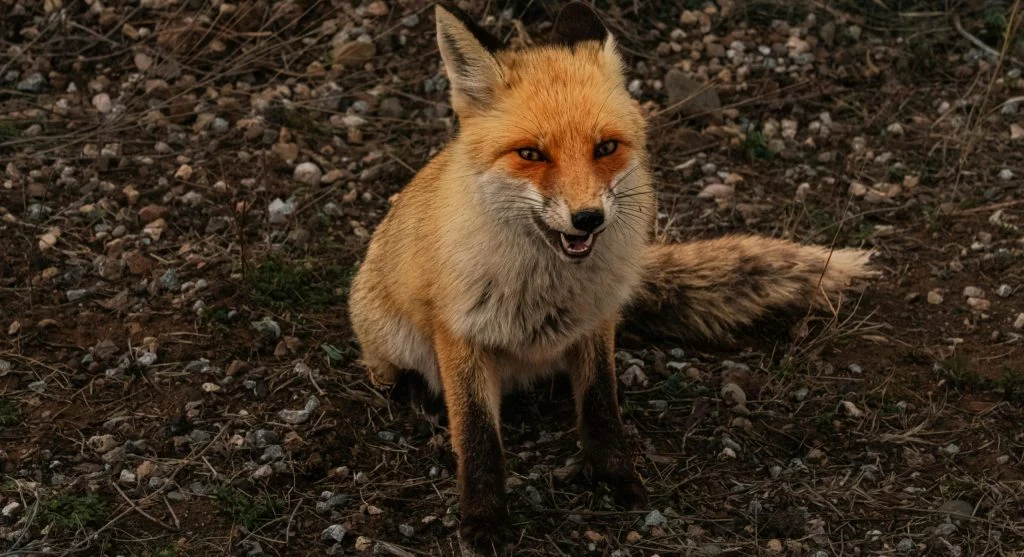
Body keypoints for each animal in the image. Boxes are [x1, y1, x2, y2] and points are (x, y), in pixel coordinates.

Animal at [347, 2, 876, 553]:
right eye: (530, 154)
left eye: (605, 147)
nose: (587, 219)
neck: (548, 287)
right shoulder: (460, 333)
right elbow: (476, 435)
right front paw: (485, 520)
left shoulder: (597, 321)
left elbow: (602, 405)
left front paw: (613, 476)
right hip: (387, 334)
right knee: (392, 371)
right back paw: (414, 392)